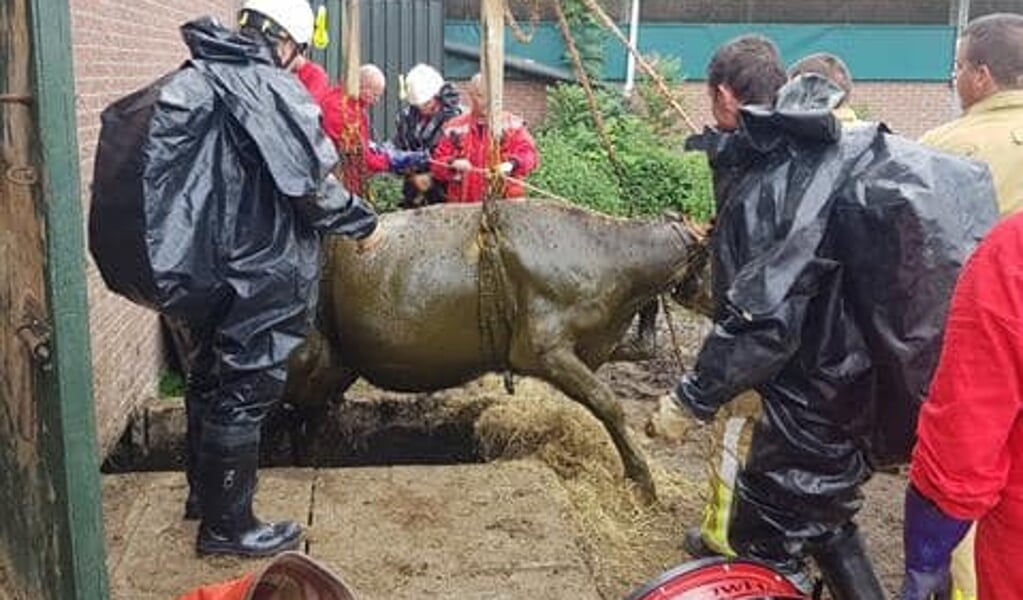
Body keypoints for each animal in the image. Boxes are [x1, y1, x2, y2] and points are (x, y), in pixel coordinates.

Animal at [284, 199, 707, 500]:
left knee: (308, 416)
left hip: (335, 365)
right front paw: (643, 481)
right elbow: (608, 403)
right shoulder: (545, 349)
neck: (611, 259)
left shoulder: (594, 345)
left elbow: (644, 347)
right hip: (307, 356)